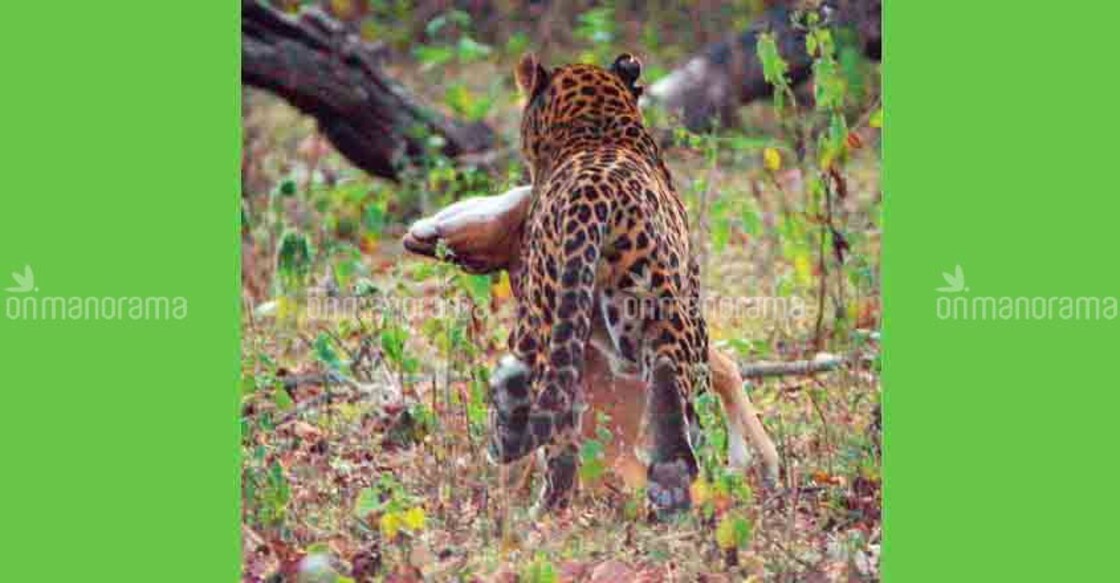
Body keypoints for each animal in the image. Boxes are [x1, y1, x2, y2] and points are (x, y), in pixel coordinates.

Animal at [489, 52, 711, 517]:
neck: (594, 126)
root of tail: (591, 197)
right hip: (664, 309)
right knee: (670, 385)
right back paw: (671, 490)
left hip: (542, 325)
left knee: (556, 429)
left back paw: (545, 510)